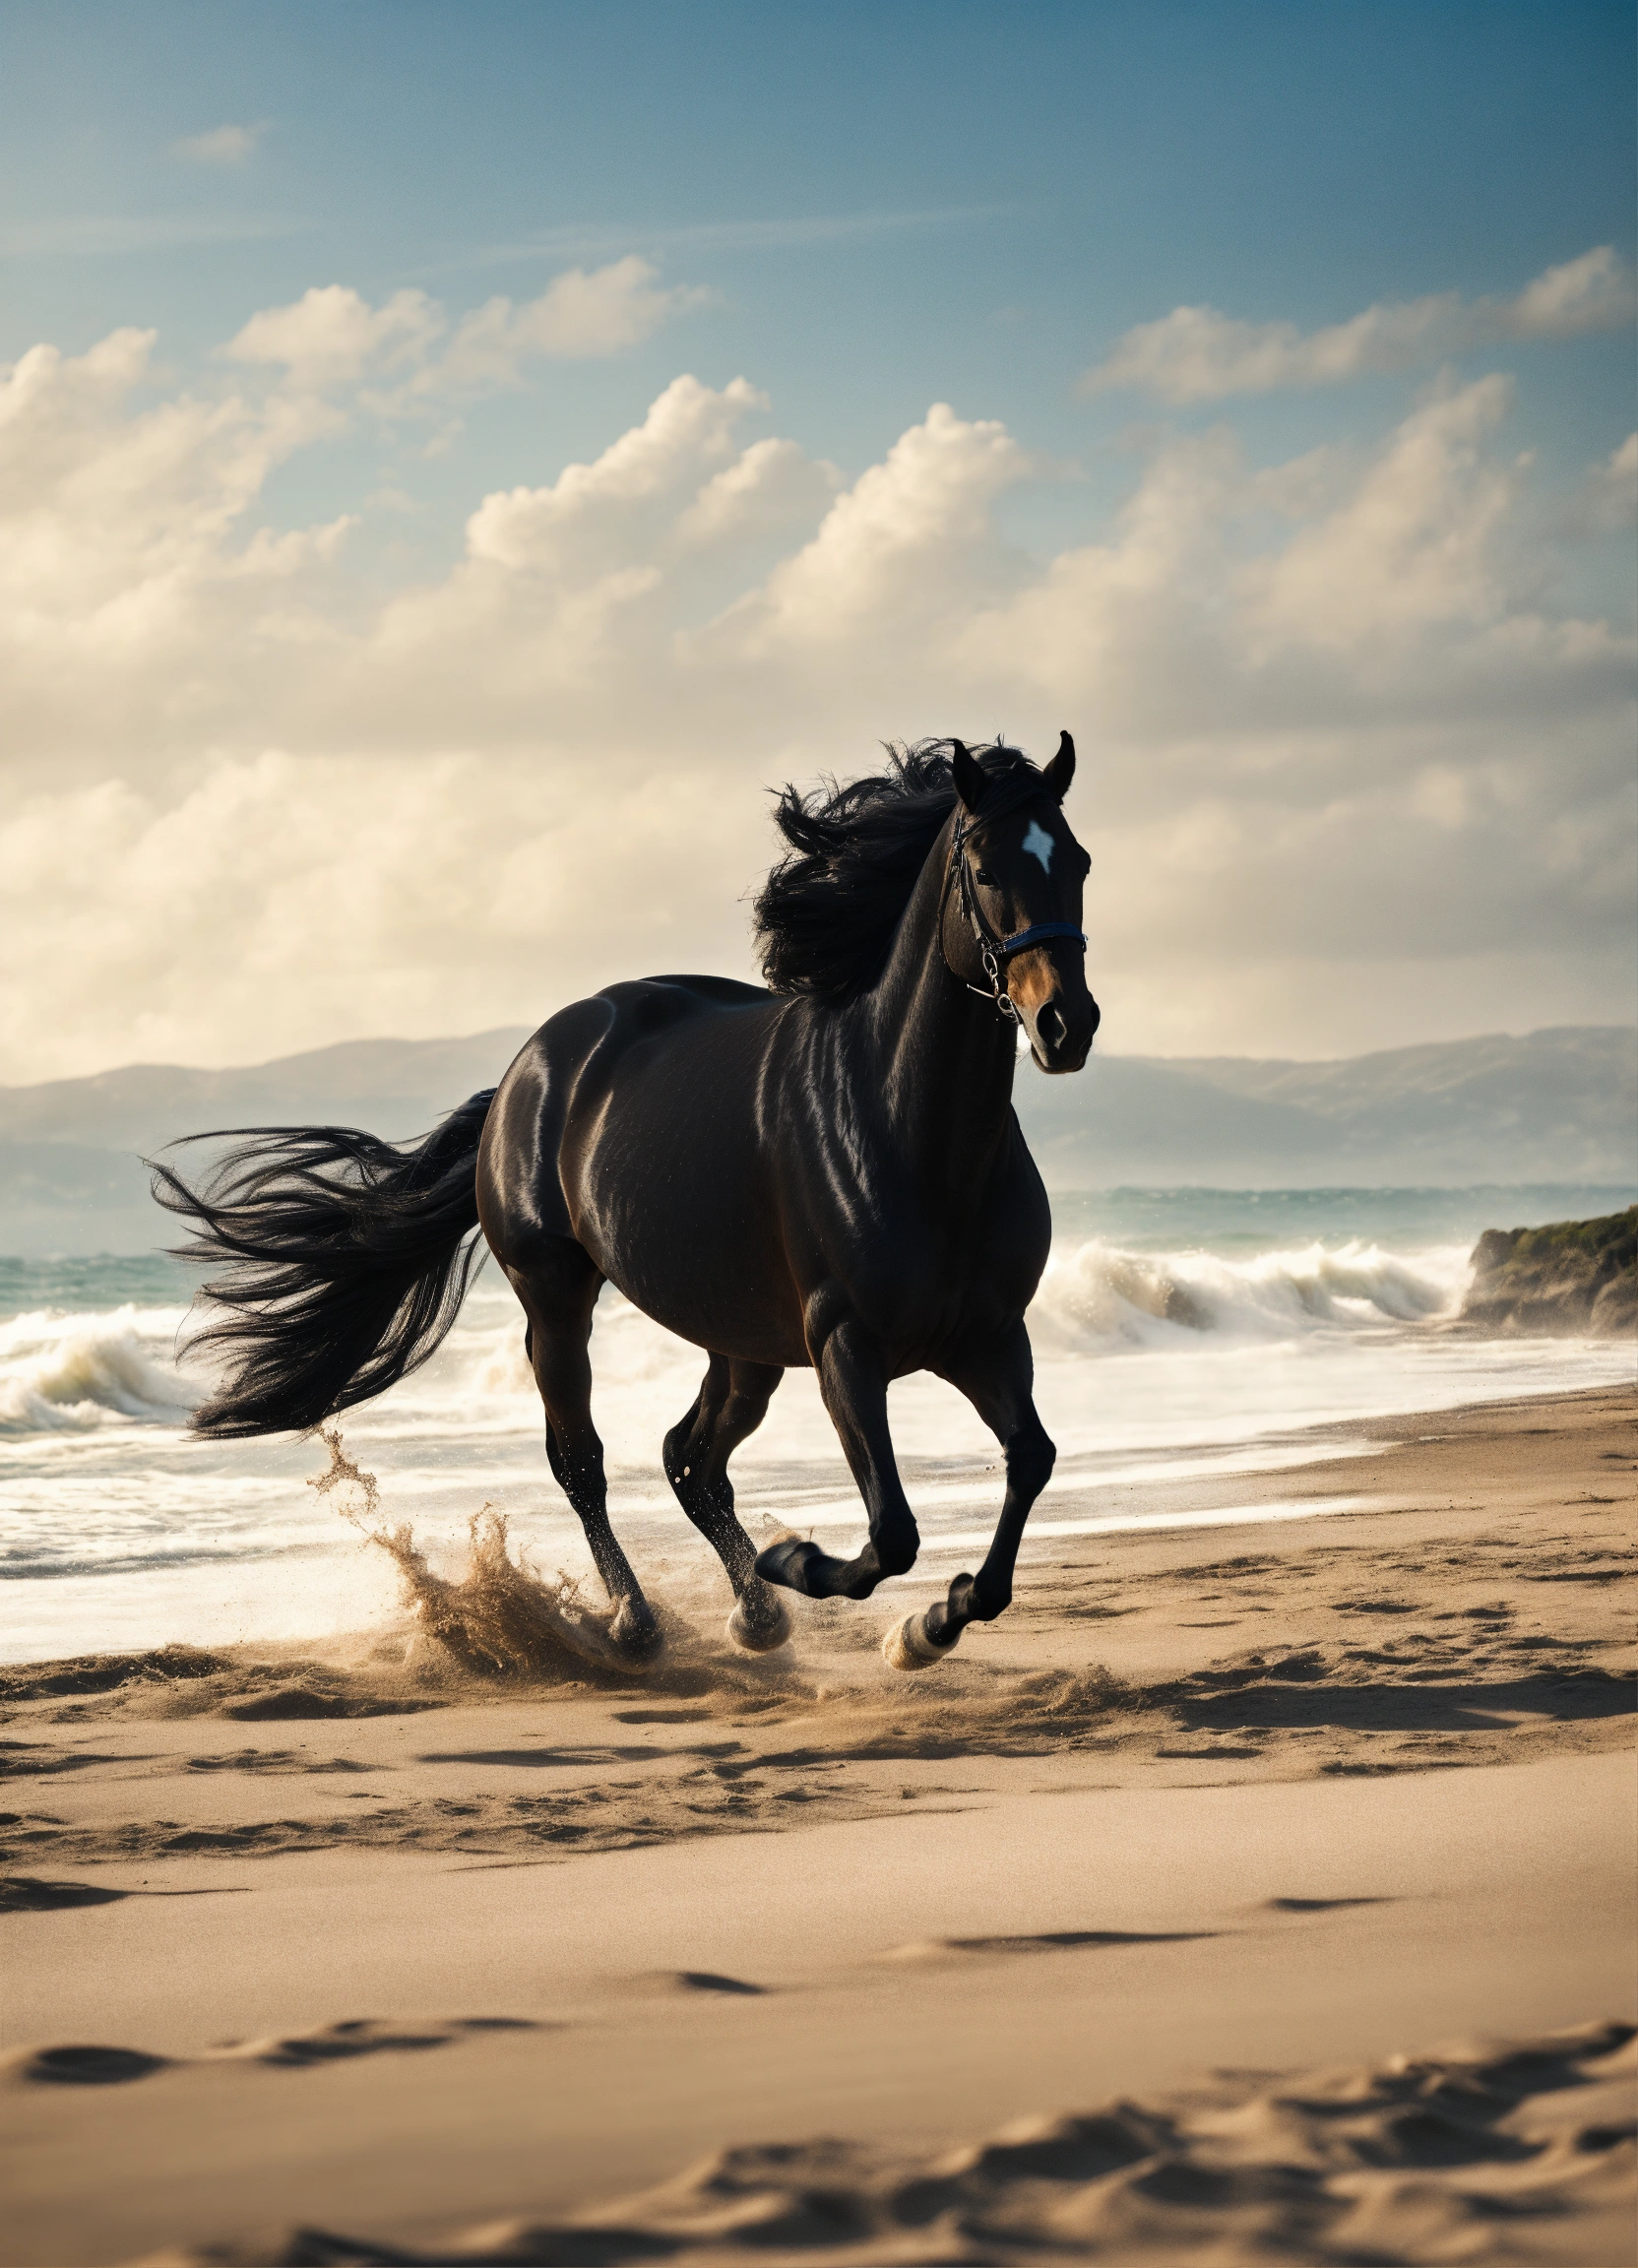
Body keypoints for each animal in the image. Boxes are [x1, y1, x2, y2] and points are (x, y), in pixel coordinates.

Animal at [153, 735, 1099, 1671]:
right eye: (984, 868)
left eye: (1080, 861)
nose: (1067, 1024)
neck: (913, 1137)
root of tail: (527, 1068)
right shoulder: (845, 1344)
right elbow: (893, 1532)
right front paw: (810, 1564)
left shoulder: (987, 1334)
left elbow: (1030, 1462)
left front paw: (931, 1622)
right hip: (557, 1295)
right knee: (584, 1458)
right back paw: (639, 1622)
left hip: (741, 1337)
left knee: (691, 1459)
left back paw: (756, 1617)